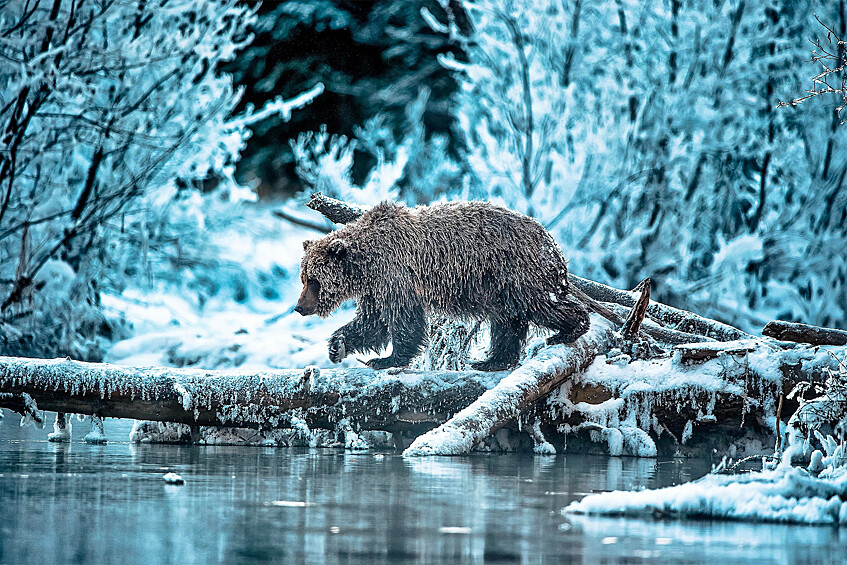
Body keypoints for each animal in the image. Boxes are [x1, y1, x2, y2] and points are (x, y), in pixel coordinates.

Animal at [296, 199, 588, 370]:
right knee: (508, 321)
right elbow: (372, 322)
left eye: (314, 280)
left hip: (516, 271)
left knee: (539, 305)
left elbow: (404, 320)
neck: (365, 264)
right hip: (499, 286)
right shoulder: (375, 289)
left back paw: (570, 328)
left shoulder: (396, 276)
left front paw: (387, 359)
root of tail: (552, 243)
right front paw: (338, 346)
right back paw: (492, 361)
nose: (299, 307)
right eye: (304, 277)